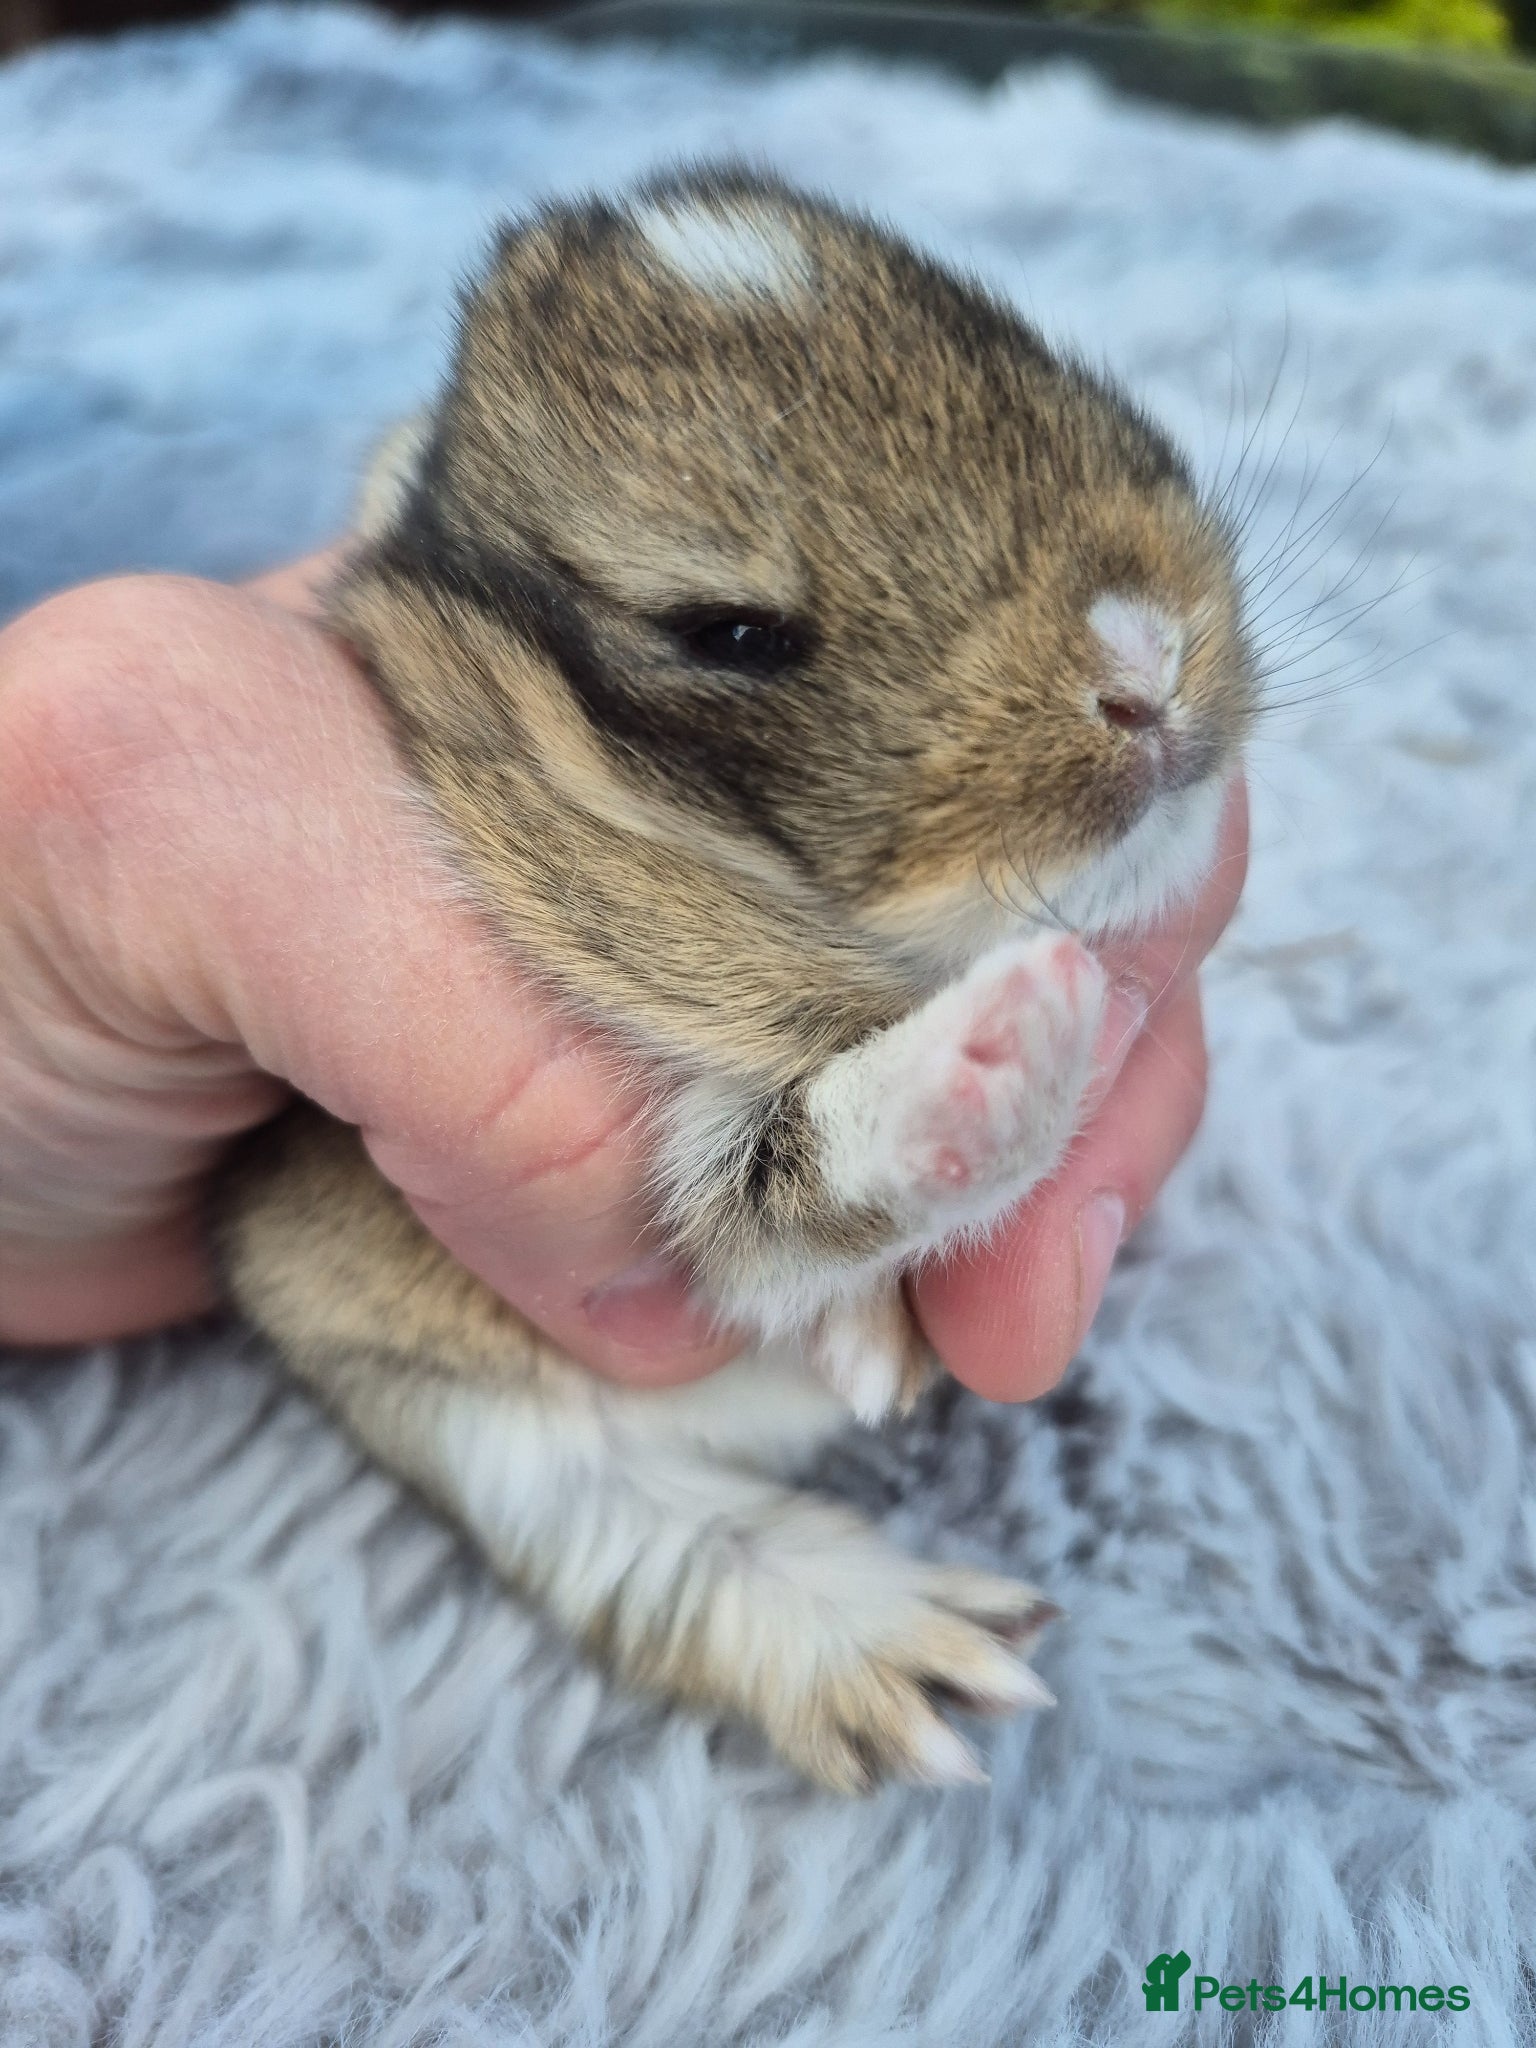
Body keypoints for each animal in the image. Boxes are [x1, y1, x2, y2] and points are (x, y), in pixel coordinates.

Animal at [217, 167, 1255, 1793]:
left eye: (1023, 345)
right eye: (731, 631)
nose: (1146, 662)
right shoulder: (685, 1196)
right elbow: (795, 1191)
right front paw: (1011, 1044)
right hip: (484, 1430)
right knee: (662, 1555)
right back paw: (922, 1656)